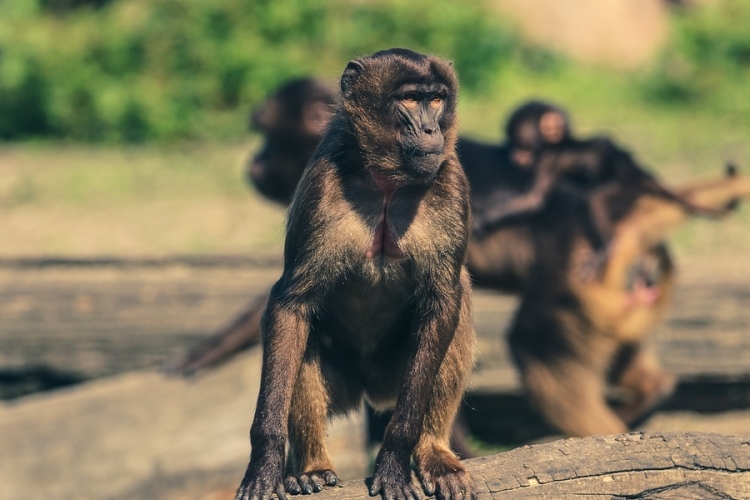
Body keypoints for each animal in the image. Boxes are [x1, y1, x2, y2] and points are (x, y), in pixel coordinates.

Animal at [235, 49, 478, 500]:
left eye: (436, 99)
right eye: (410, 99)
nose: (431, 128)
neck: (386, 183)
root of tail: (370, 390)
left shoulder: (452, 181)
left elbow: (443, 299)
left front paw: (396, 458)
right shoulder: (321, 185)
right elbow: (290, 305)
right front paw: (265, 462)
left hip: (394, 375)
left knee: (458, 302)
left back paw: (433, 451)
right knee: (302, 333)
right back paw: (311, 466)